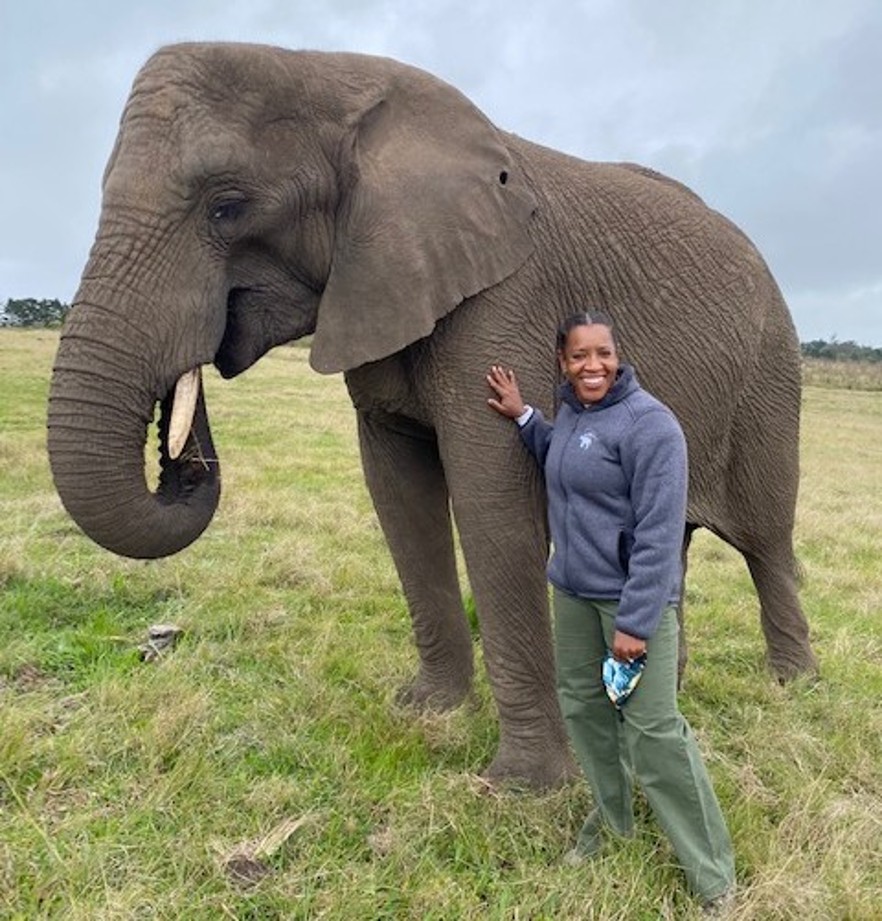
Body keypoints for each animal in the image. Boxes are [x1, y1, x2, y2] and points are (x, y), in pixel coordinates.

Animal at [48, 43, 820, 788]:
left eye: (227, 206)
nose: (181, 457)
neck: (328, 73)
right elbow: (399, 495)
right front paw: (429, 712)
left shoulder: (504, 297)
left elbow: (490, 503)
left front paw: (522, 786)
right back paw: (664, 691)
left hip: (772, 373)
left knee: (764, 537)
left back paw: (793, 686)